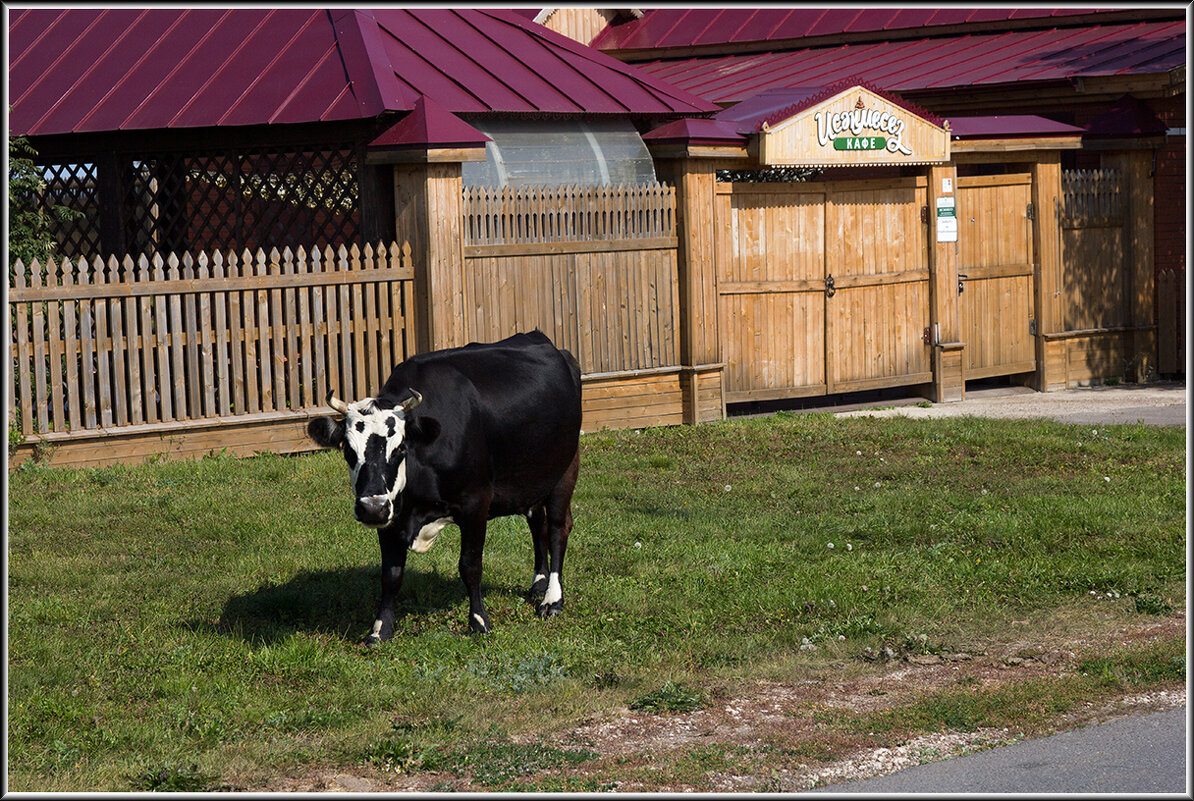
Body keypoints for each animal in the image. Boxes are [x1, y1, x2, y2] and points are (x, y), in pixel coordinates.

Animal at [308, 329, 582, 644]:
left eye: (400, 449)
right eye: (348, 451)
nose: (371, 509)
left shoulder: (475, 505)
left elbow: (470, 566)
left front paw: (478, 621)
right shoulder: (392, 514)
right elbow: (391, 574)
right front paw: (380, 629)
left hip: (564, 468)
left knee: (557, 528)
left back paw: (552, 598)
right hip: (532, 475)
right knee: (537, 523)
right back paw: (539, 583)